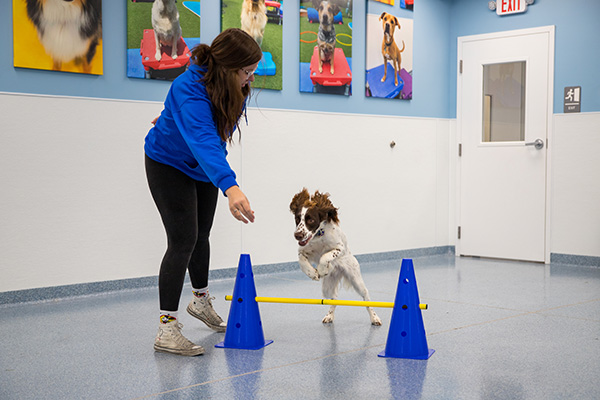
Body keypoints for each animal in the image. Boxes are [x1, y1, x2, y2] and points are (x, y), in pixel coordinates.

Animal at [290, 190, 382, 324]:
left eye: (311, 220)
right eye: (297, 219)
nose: (297, 235)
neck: (319, 235)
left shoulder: (339, 248)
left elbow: (325, 256)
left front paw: (322, 269)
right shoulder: (302, 250)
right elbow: (301, 261)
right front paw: (313, 273)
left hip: (355, 279)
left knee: (366, 297)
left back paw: (374, 317)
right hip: (328, 286)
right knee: (334, 297)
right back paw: (329, 316)